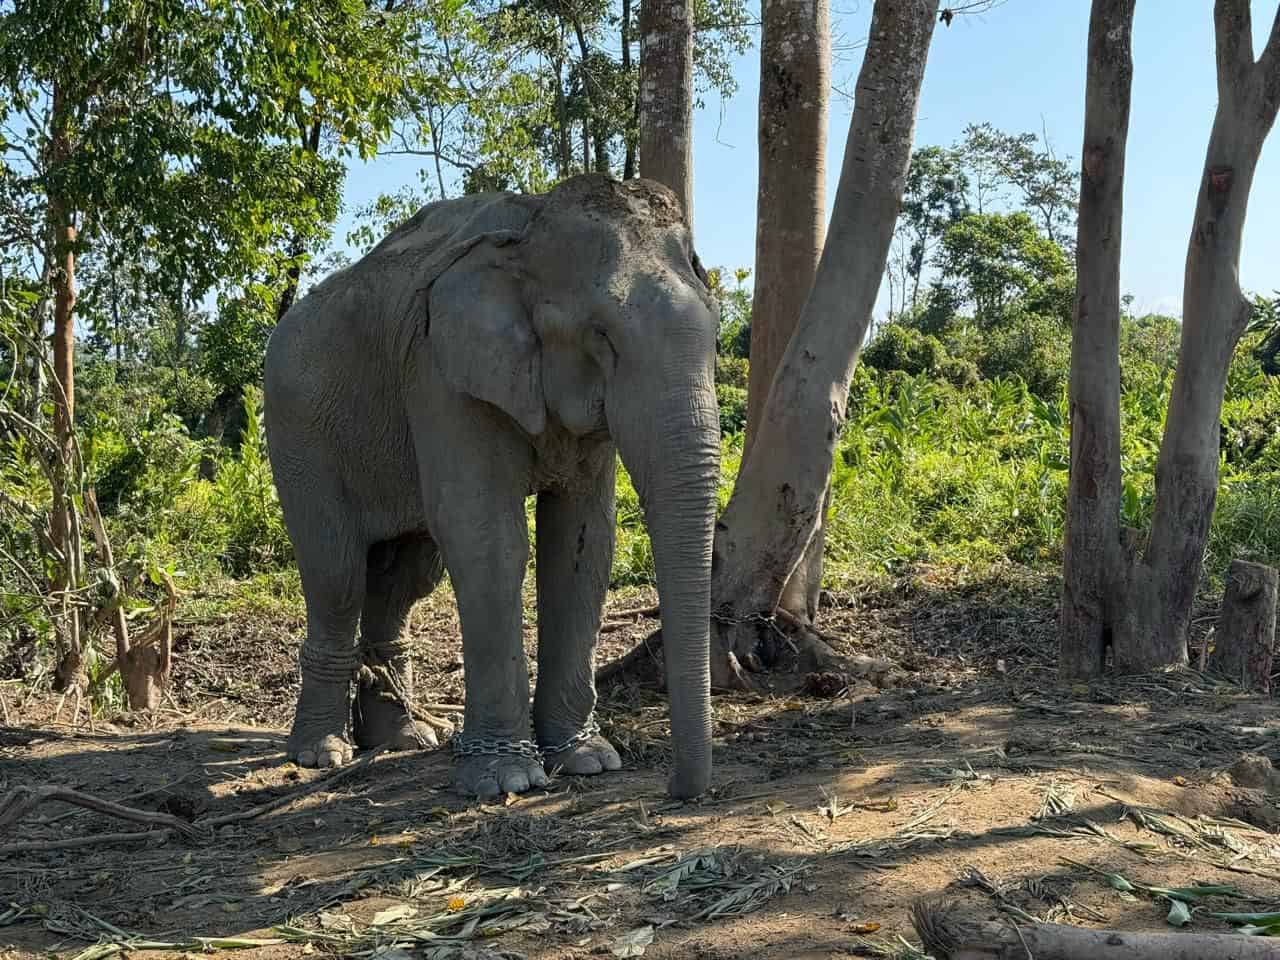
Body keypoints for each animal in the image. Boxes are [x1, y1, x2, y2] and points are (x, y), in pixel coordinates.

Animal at [262, 174, 720, 800]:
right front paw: (508, 780)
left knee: (404, 577)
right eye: (601, 336)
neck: (530, 227)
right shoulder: (440, 372)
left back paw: (404, 739)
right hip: (298, 432)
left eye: (719, 332)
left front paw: (588, 760)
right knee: (337, 573)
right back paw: (321, 753)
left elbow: (584, 541)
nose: (677, 789)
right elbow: (485, 533)